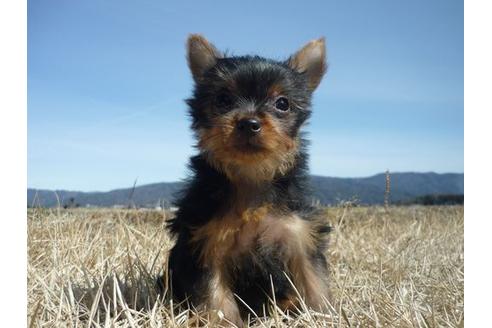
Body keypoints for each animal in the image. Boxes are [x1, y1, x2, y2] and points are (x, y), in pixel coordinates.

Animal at [164, 33, 330, 326]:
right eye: (223, 100)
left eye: (282, 103)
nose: (249, 123)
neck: (251, 177)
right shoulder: (207, 244)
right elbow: (216, 299)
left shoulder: (299, 235)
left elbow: (314, 282)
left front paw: (324, 315)